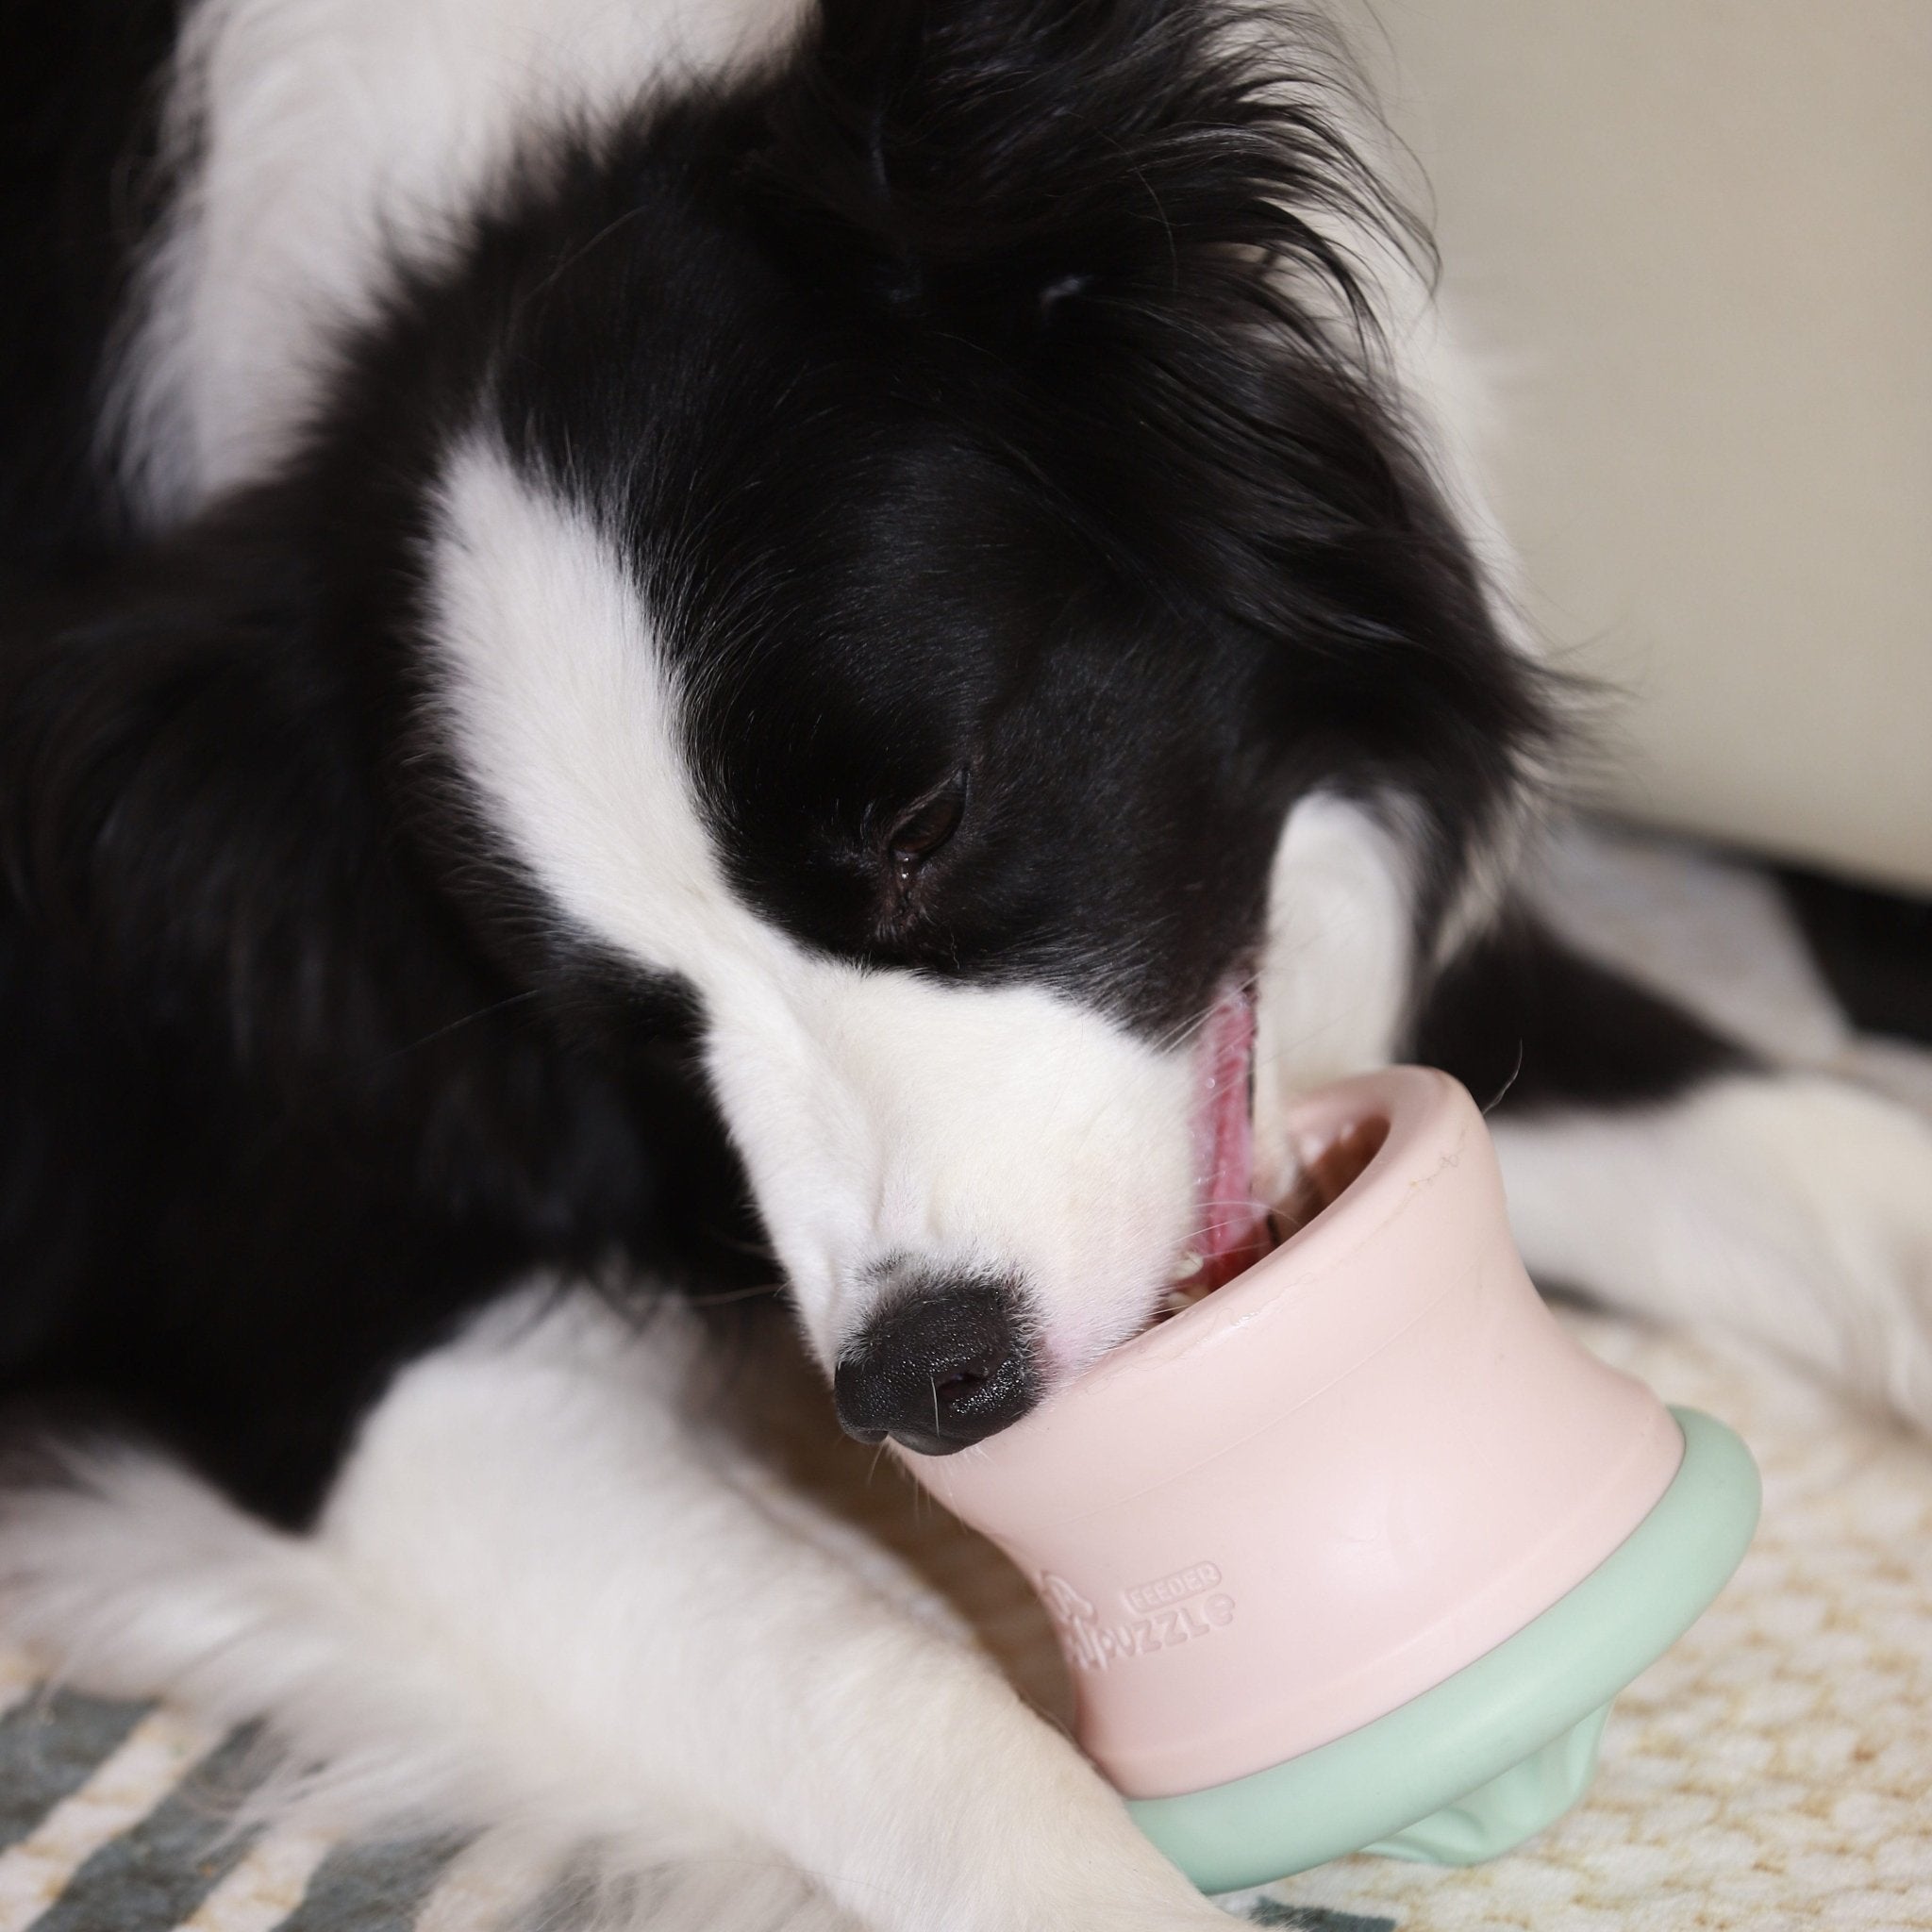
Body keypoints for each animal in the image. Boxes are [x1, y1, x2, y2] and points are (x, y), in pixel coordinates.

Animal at [4, 0, 1932, 1924]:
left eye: (924, 819)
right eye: (632, 1026)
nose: (925, 1385)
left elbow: (1766, 1125)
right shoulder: (326, 1315)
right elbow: (874, 1686)